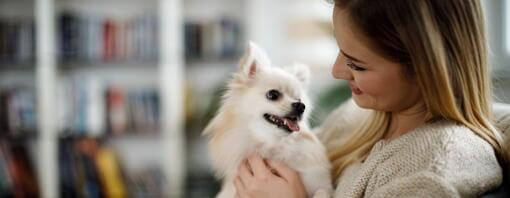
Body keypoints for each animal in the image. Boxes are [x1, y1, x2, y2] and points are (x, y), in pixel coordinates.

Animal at [201, 41, 332, 197]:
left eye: (299, 99)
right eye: (273, 94)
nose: (301, 106)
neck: (272, 145)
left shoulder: (319, 183)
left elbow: (322, 191)